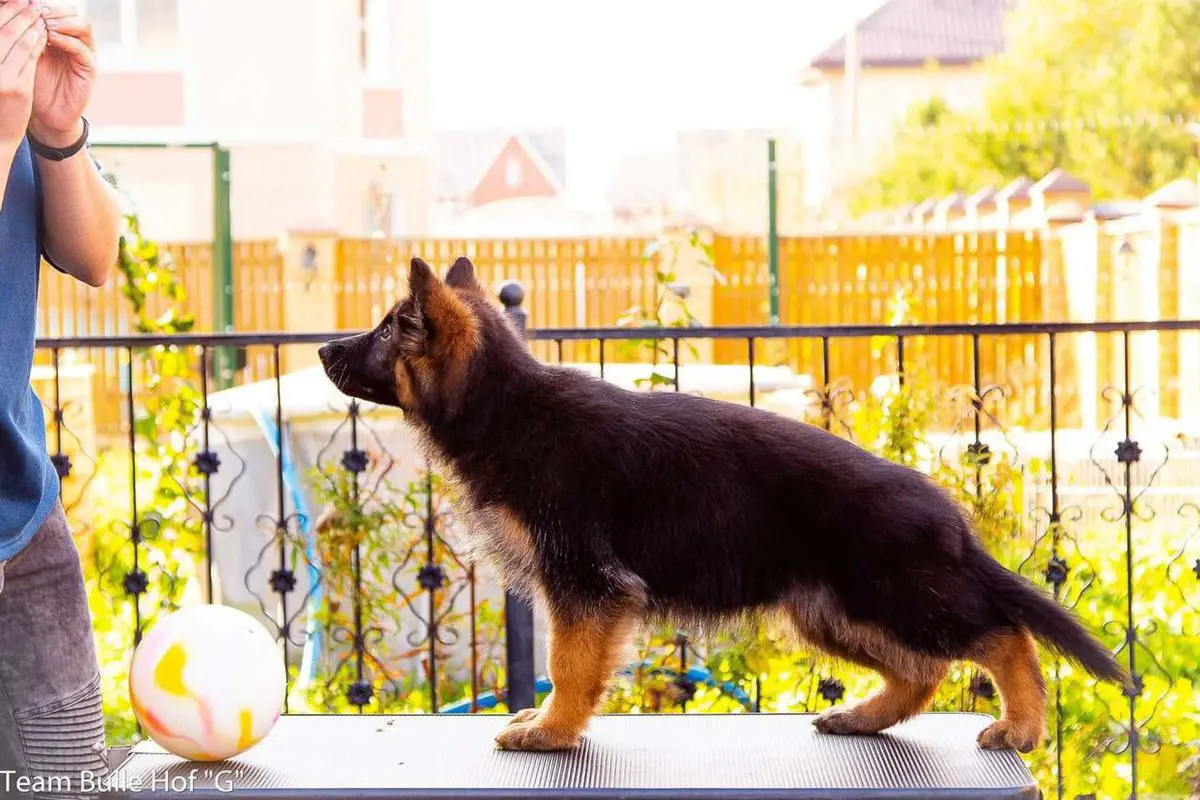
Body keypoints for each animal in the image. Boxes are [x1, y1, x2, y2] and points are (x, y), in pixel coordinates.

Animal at [318, 256, 1128, 753]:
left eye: (386, 329)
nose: (324, 351)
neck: (504, 407)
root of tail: (949, 516)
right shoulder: (580, 586)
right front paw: (551, 724)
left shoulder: (585, 585)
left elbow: (571, 664)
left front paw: (550, 730)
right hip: (834, 611)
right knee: (922, 670)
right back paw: (865, 717)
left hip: (893, 596)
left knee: (1001, 635)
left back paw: (1020, 725)